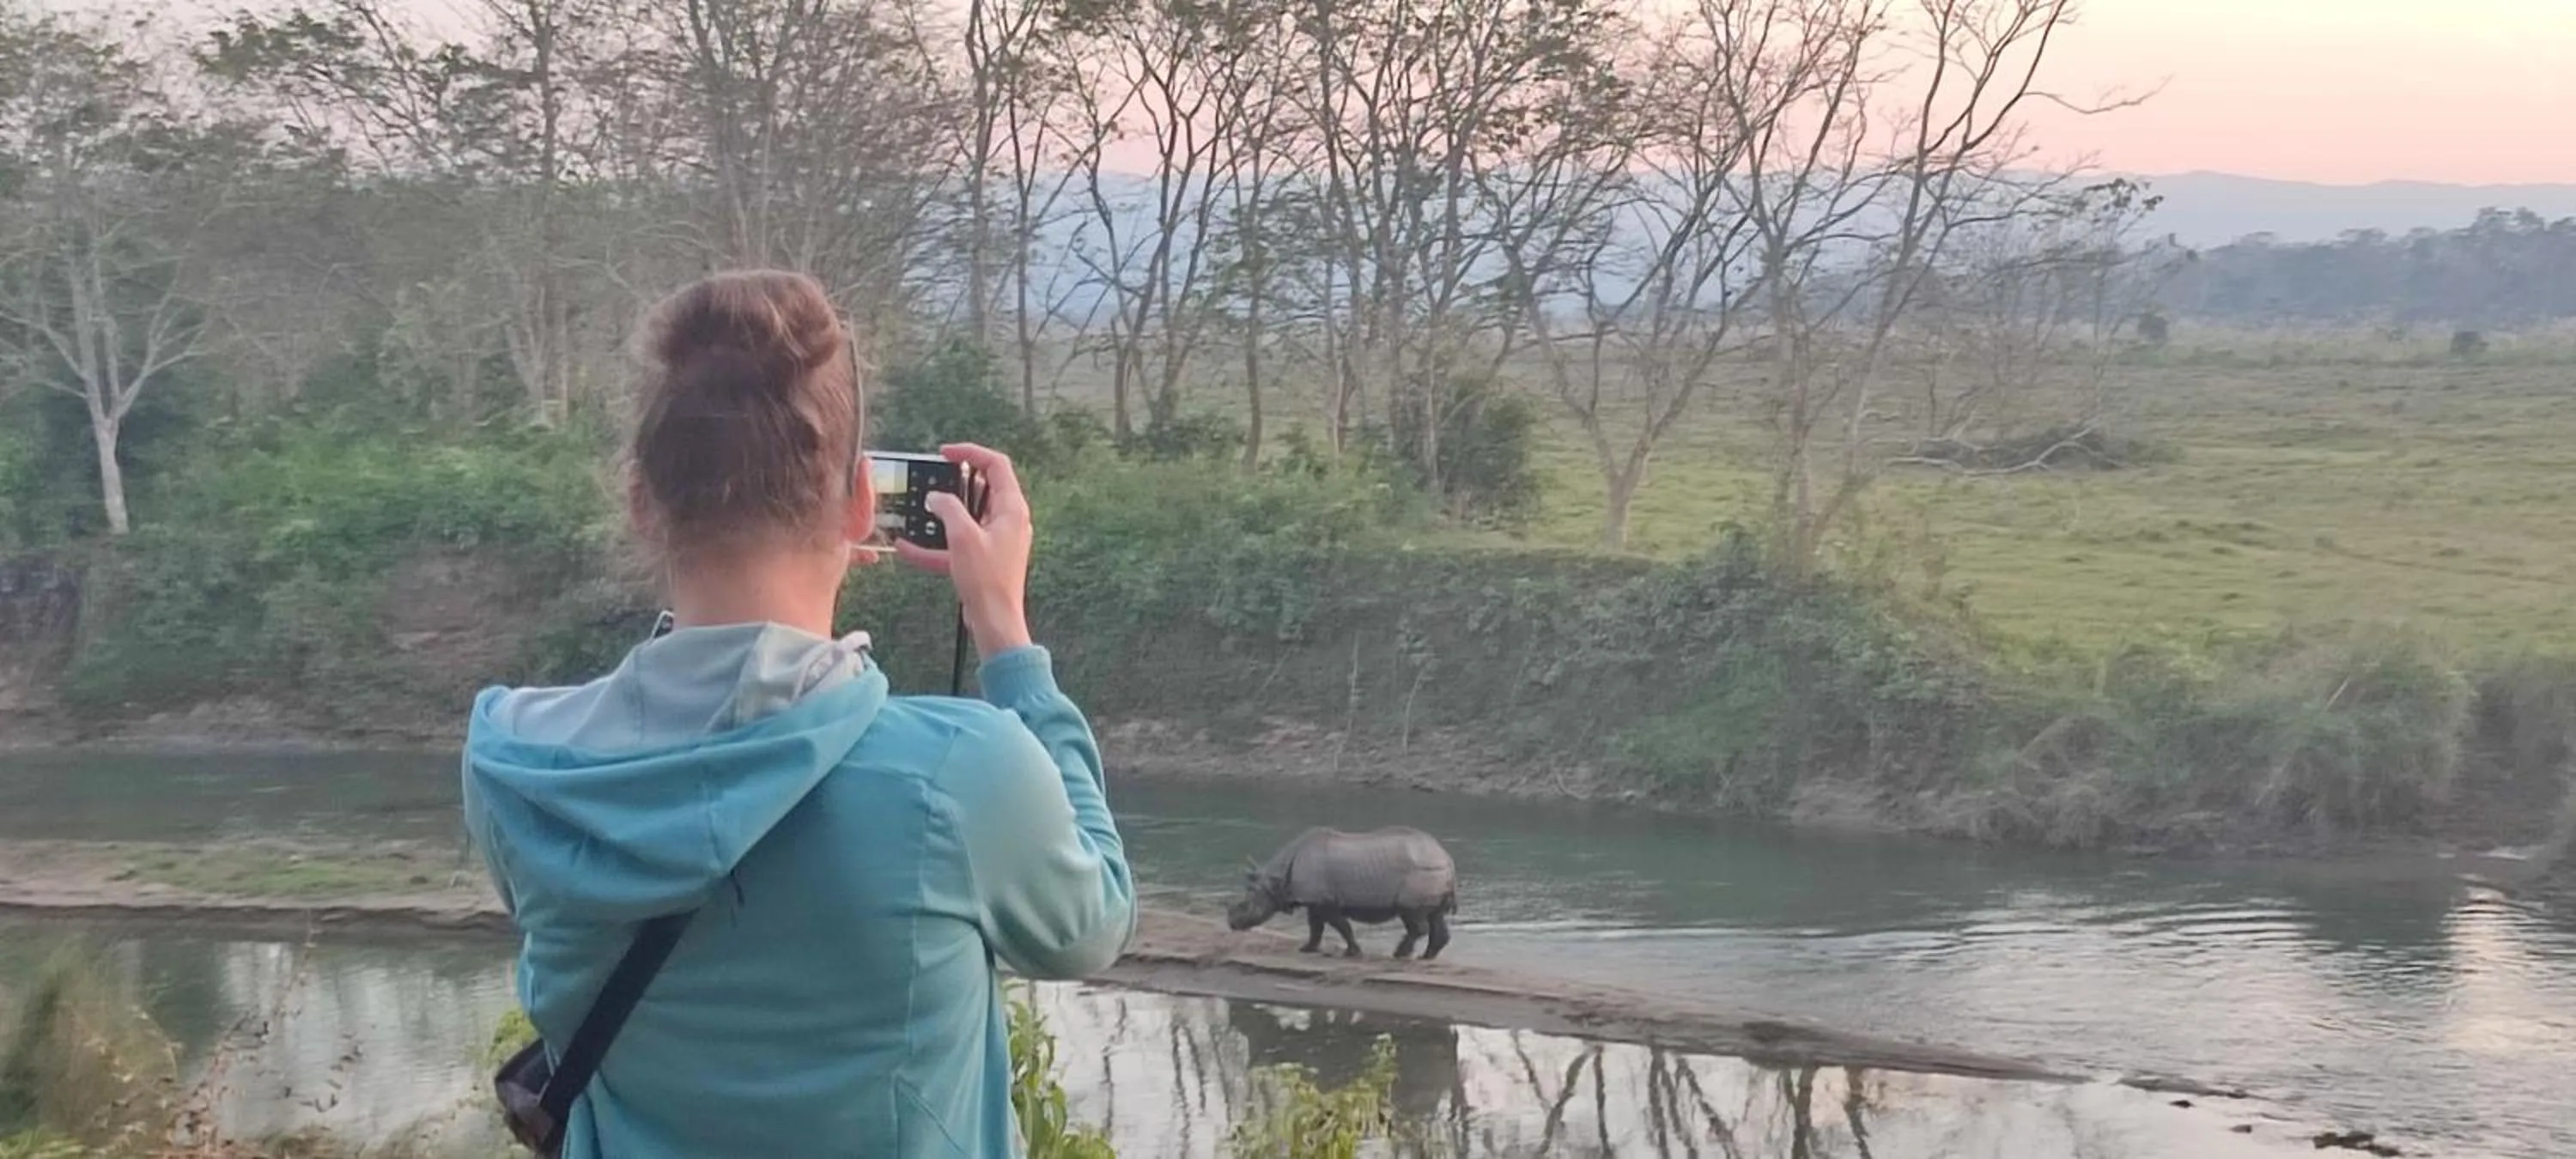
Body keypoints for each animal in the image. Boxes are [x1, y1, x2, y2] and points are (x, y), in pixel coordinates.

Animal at [1225, 826, 1459, 960]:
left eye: (1245, 905)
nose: (1232, 924)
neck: (1278, 879)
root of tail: (1447, 858)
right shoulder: (1315, 901)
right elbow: (1315, 927)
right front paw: (1307, 949)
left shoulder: (1325, 901)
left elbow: (1340, 926)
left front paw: (1352, 952)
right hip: (1434, 870)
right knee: (1435, 915)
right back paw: (1426, 957)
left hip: (1422, 872)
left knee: (1412, 914)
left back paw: (1400, 954)